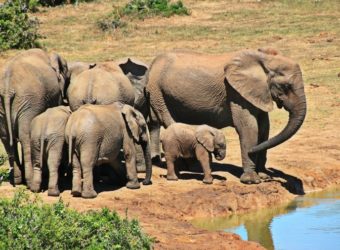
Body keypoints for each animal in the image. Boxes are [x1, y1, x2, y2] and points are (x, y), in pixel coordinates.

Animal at [0, 48, 69, 186]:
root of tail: (7, 89)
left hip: (7, 105)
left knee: (6, 137)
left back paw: (17, 180)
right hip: (29, 101)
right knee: (26, 136)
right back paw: (31, 181)